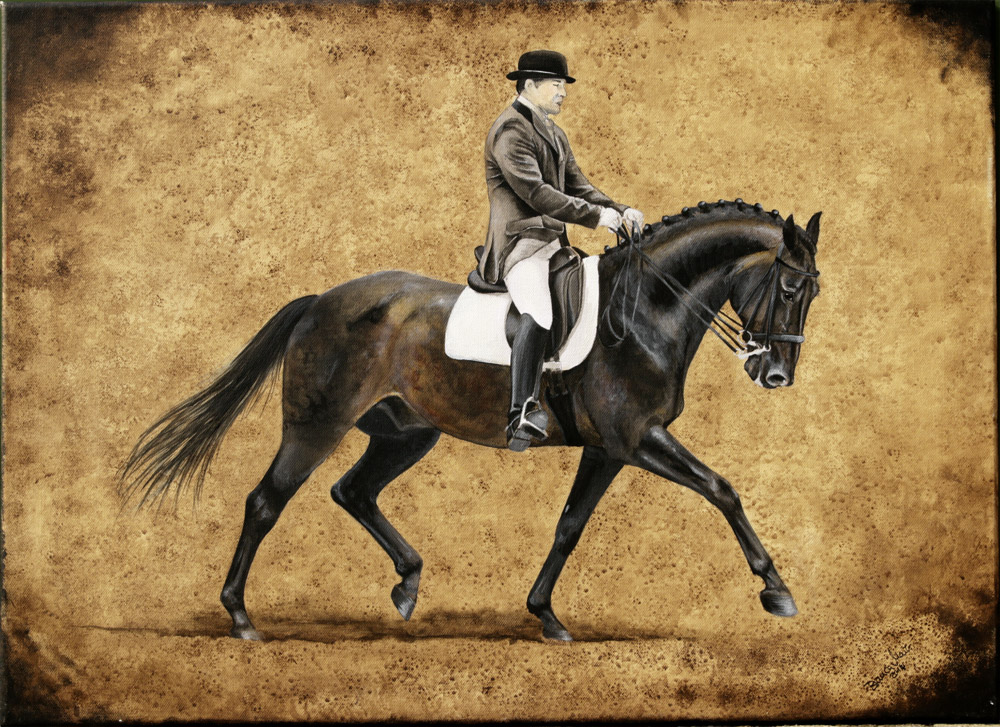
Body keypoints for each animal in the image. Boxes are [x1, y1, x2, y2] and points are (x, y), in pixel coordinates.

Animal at [118, 199, 822, 642]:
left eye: (813, 291)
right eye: (789, 288)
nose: (776, 376)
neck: (645, 309)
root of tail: (321, 301)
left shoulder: (607, 449)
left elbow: (569, 527)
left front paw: (545, 616)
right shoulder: (638, 438)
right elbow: (722, 490)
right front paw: (777, 590)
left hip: (407, 432)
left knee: (353, 491)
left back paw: (407, 584)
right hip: (316, 426)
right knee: (267, 502)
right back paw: (241, 618)